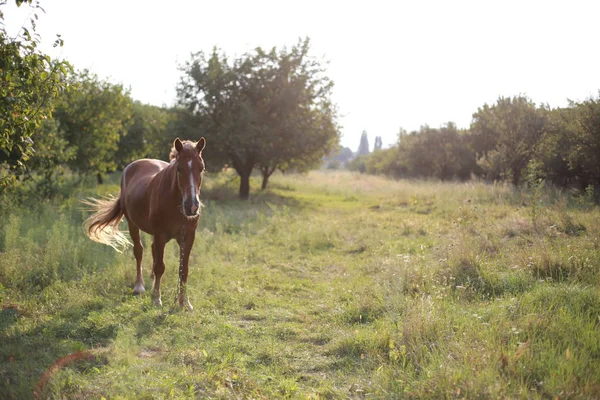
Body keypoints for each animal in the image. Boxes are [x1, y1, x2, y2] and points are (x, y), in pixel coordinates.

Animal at [83, 137, 207, 310]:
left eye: (201, 168)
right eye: (179, 169)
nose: (192, 206)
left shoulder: (188, 237)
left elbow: (184, 270)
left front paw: (185, 303)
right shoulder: (160, 234)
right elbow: (160, 266)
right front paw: (156, 298)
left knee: (153, 252)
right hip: (133, 225)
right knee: (139, 251)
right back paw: (139, 286)